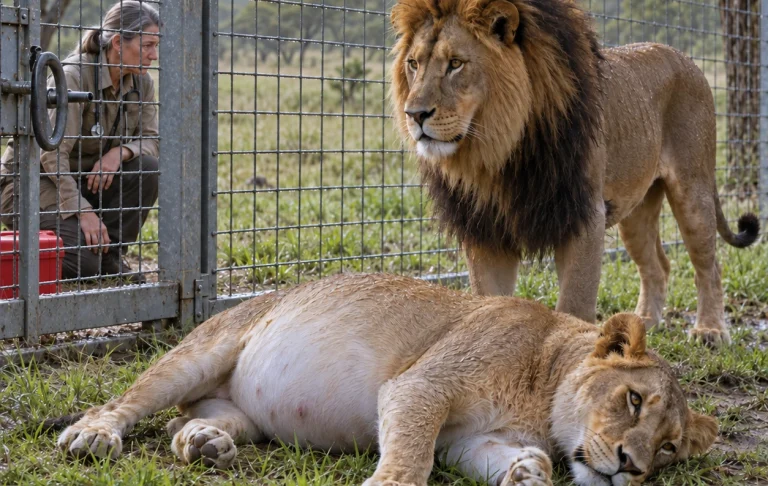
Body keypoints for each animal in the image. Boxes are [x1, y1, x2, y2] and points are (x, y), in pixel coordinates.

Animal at [57, 273, 717, 486]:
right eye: (634, 399)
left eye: (668, 448)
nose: (632, 466)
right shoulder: (423, 387)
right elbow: (411, 457)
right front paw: (389, 482)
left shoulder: (465, 440)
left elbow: (493, 457)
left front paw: (527, 472)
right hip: (200, 351)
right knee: (129, 401)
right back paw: (94, 436)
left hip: (235, 408)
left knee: (190, 420)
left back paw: (205, 443)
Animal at [390, 0, 760, 347]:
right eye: (413, 64)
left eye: (456, 63)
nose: (414, 115)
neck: (497, 155)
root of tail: (683, 56)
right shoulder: (486, 230)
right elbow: (490, 303)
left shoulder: (583, 216)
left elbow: (574, 305)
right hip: (635, 212)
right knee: (657, 265)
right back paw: (643, 322)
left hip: (692, 189)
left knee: (709, 265)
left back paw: (710, 330)